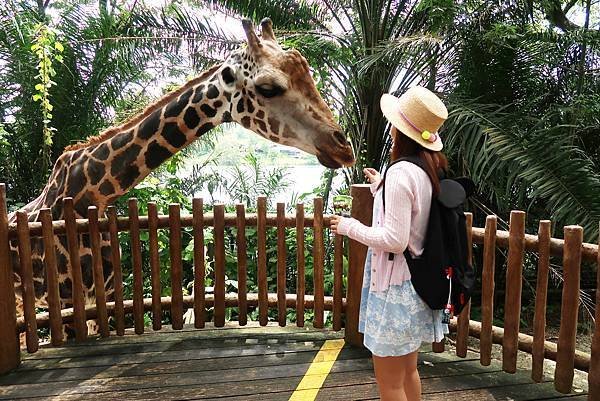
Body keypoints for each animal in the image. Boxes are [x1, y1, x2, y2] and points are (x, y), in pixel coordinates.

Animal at [8, 18, 356, 332]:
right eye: (267, 88)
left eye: (307, 70)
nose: (344, 147)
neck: (93, 193)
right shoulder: (70, 302)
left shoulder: (101, 294)